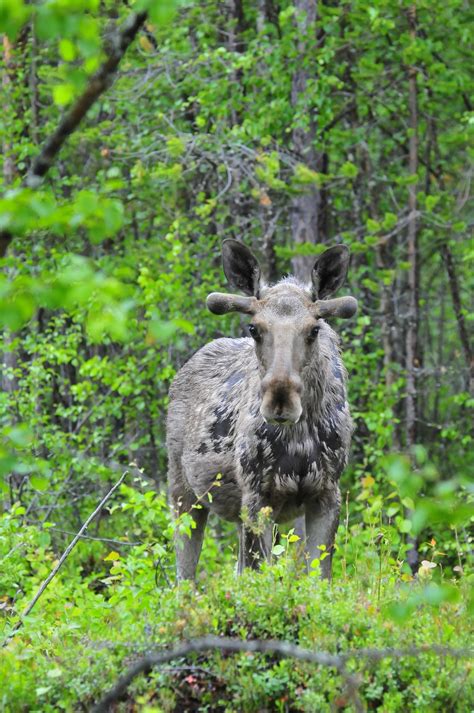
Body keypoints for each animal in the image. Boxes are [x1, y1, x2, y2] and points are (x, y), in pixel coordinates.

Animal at [167, 239, 356, 580]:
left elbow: (319, 577)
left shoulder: (326, 493)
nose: (280, 401)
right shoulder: (257, 495)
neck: (298, 439)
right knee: (185, 576)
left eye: (314, 329)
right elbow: (261, 577)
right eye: (254, 328)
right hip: (182, 490)